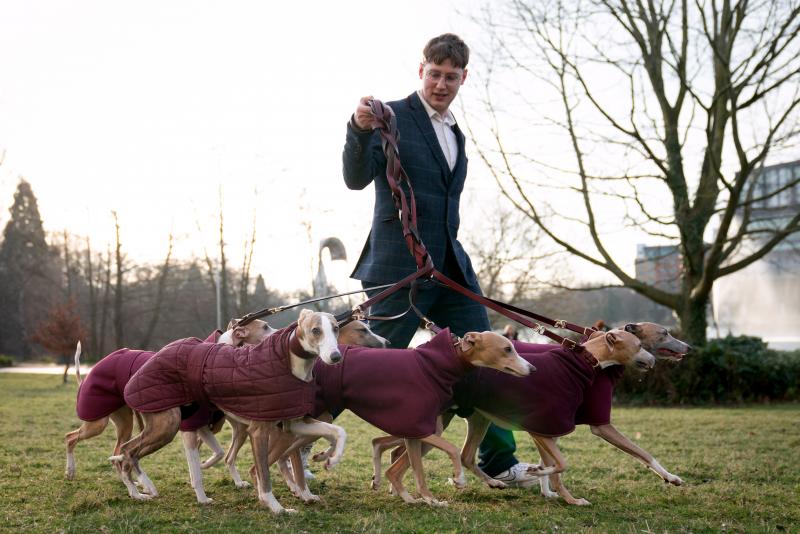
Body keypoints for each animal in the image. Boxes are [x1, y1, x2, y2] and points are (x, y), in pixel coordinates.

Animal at [115, 310, 344, 516]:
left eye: (336, 328)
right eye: (315, 330)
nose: (336, 356)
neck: (288, 362)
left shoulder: (293, 423)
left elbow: (338, 431)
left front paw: (330, 457)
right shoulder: (257, 431)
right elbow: (262, 474)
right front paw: (276, 507)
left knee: (127, 453)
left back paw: (137, 492)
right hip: (167, 425)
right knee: (127, 451)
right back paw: (143, 487)